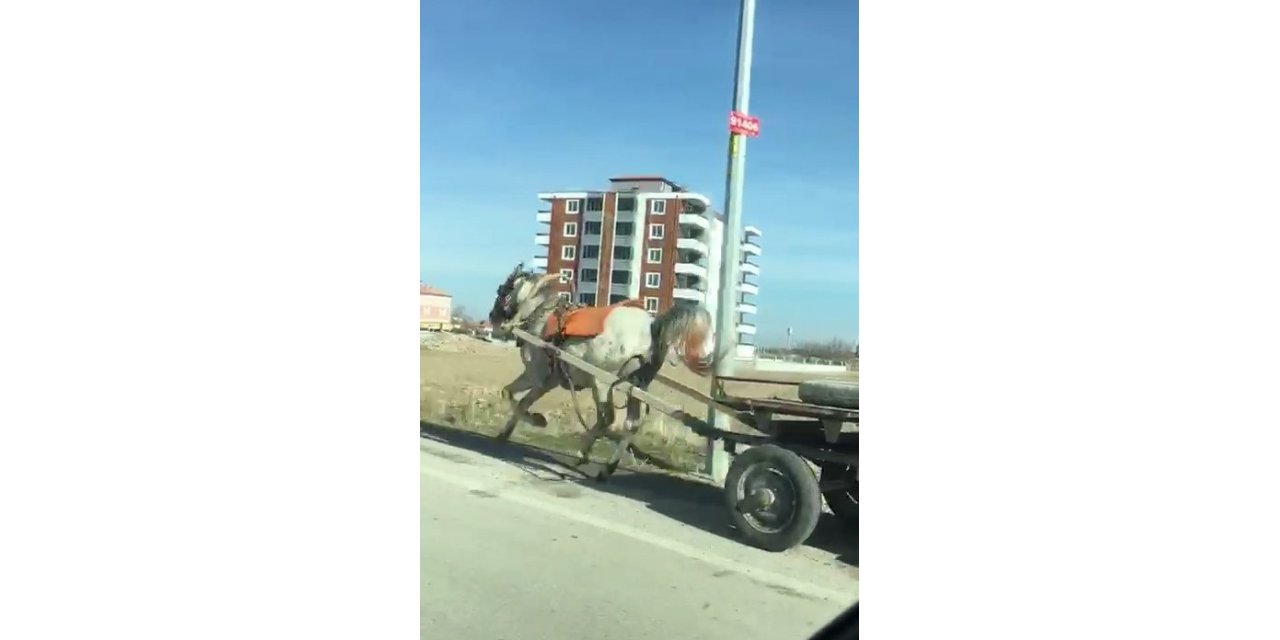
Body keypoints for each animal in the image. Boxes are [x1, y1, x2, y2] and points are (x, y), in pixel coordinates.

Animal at [483, 262, 716, 478]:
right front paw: (507, 432)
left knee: (607, 418)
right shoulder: (549, 380)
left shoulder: (535, 375)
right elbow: (522, 400)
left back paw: (582, 453)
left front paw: (537, 421)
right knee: (631, 423)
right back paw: (607, 468)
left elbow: (511, 395)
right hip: (636, 385)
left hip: (602, 382)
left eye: (502, 291)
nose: (492, 316)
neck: (541, 315)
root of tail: (652, 326)